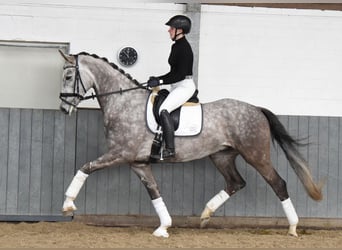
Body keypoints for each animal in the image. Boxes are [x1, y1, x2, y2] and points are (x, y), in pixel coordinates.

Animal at [58, 50, 324, 238]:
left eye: (69, 76)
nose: (63, 108)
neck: (124, 103)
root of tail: (256, 109)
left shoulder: (120, 153)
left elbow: (85, 167)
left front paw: (68, 204)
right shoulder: (138, 163)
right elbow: (154, 191)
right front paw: (164, 227)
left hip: (256, 155)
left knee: (278, 183)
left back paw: (293, 228)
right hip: (222, 156)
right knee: (236, 183)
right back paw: (206, 214)